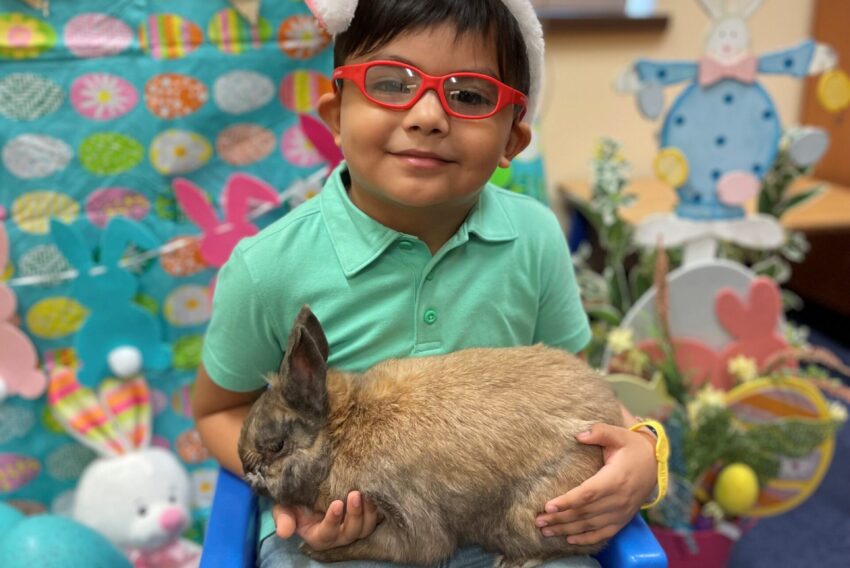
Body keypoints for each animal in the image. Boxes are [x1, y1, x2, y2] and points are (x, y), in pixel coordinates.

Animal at [238, 308, 624, 564]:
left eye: (275, 446)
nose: (248, 473)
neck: (343, 432)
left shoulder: (407, 514)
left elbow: (413, 547)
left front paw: (315, 550)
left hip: (536, 517)